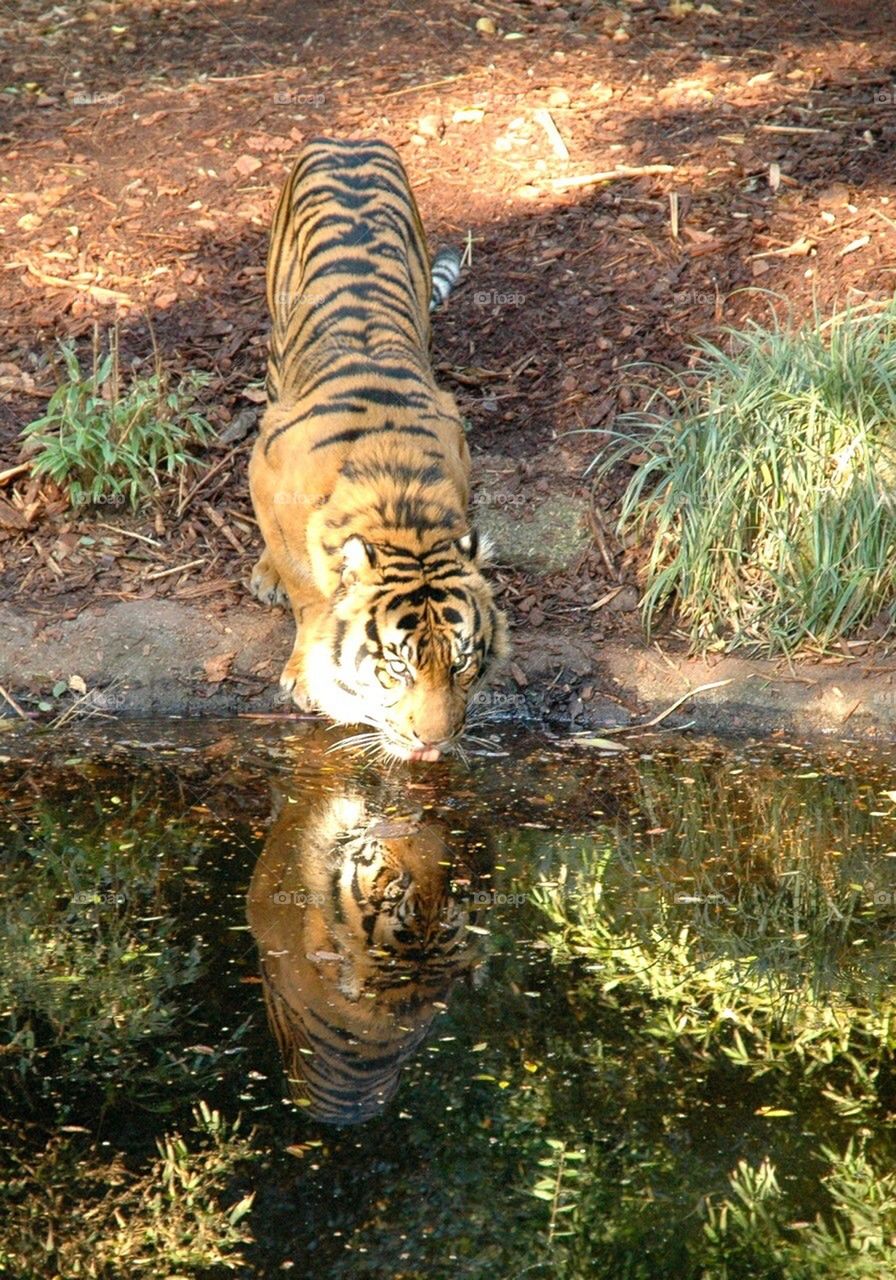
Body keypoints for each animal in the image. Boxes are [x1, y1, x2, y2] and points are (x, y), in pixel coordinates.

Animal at [248, 137, 508, 762]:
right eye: (398, 668)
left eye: (461, 665)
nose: (434, 744)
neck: (400, 501)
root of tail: (346, 141)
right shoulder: (265, 475)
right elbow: (304, 587)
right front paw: (306, 672)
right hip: (275, 351)